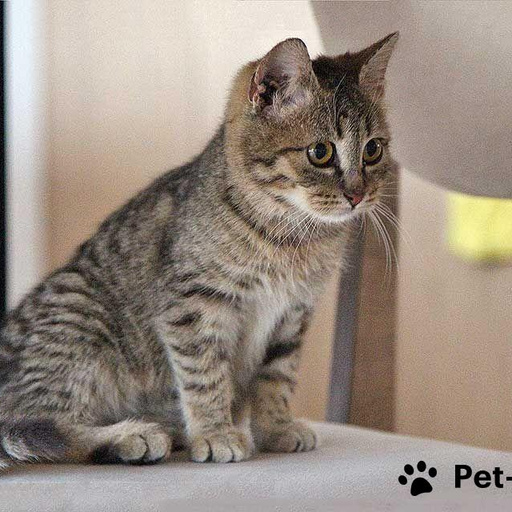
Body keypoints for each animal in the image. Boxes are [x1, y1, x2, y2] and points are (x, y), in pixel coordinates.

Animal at [0, 33, 398, 468]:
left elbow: (277, 377)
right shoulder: (194, 305)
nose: (358, 195)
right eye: (321, 152)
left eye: (373, 150)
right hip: (81, 319)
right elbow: (205, 374)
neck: (290, 237)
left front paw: (275, 428)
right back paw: (133, 435)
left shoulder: (293, 315)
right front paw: (215, 432)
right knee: (37, 425)